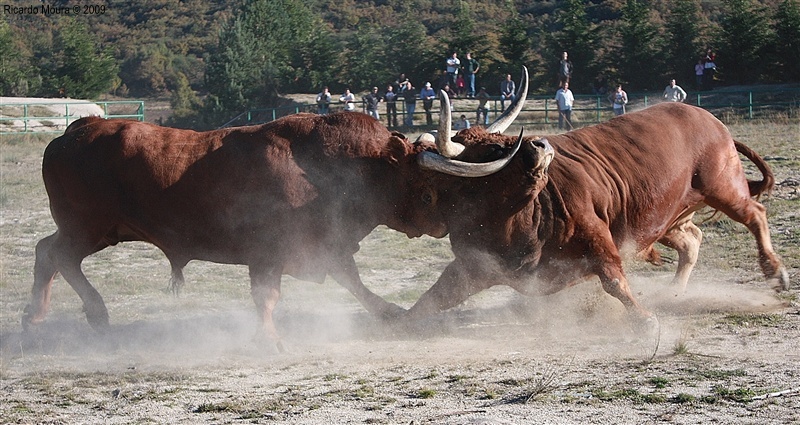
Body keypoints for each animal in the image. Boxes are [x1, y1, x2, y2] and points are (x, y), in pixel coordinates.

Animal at [412, 84, 788, 326]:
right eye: (492, 150)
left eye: (501, 140)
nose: (541, 144)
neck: (520, 216)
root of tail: (708, 119)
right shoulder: (475, 265)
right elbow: (436, 295)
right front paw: (402, 319)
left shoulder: (596, 237)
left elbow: (613, 280)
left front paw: (644, 319)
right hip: (665, 218)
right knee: (691, 241)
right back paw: (674, 293)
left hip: (723, 187)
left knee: (755, 215)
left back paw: (775, 271)